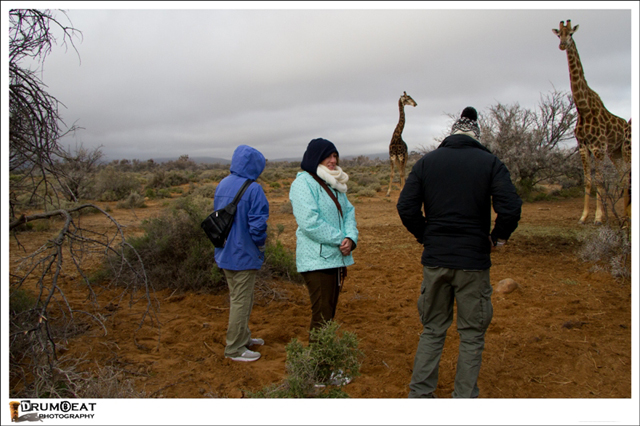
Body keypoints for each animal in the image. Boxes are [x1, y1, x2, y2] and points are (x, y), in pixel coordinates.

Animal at [552, 20, 632, 226]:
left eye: (571, 34)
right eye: (559, 34)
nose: (562, 45)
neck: (584, 108)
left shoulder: (598, 147)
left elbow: (600, 181)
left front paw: (598, 218)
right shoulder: (583, 146)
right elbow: (588, 180)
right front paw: (584, 216)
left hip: (624, 150)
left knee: (627, 176)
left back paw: (626, 216)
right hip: (615, 152)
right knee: (623, 177)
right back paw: (623, 215)